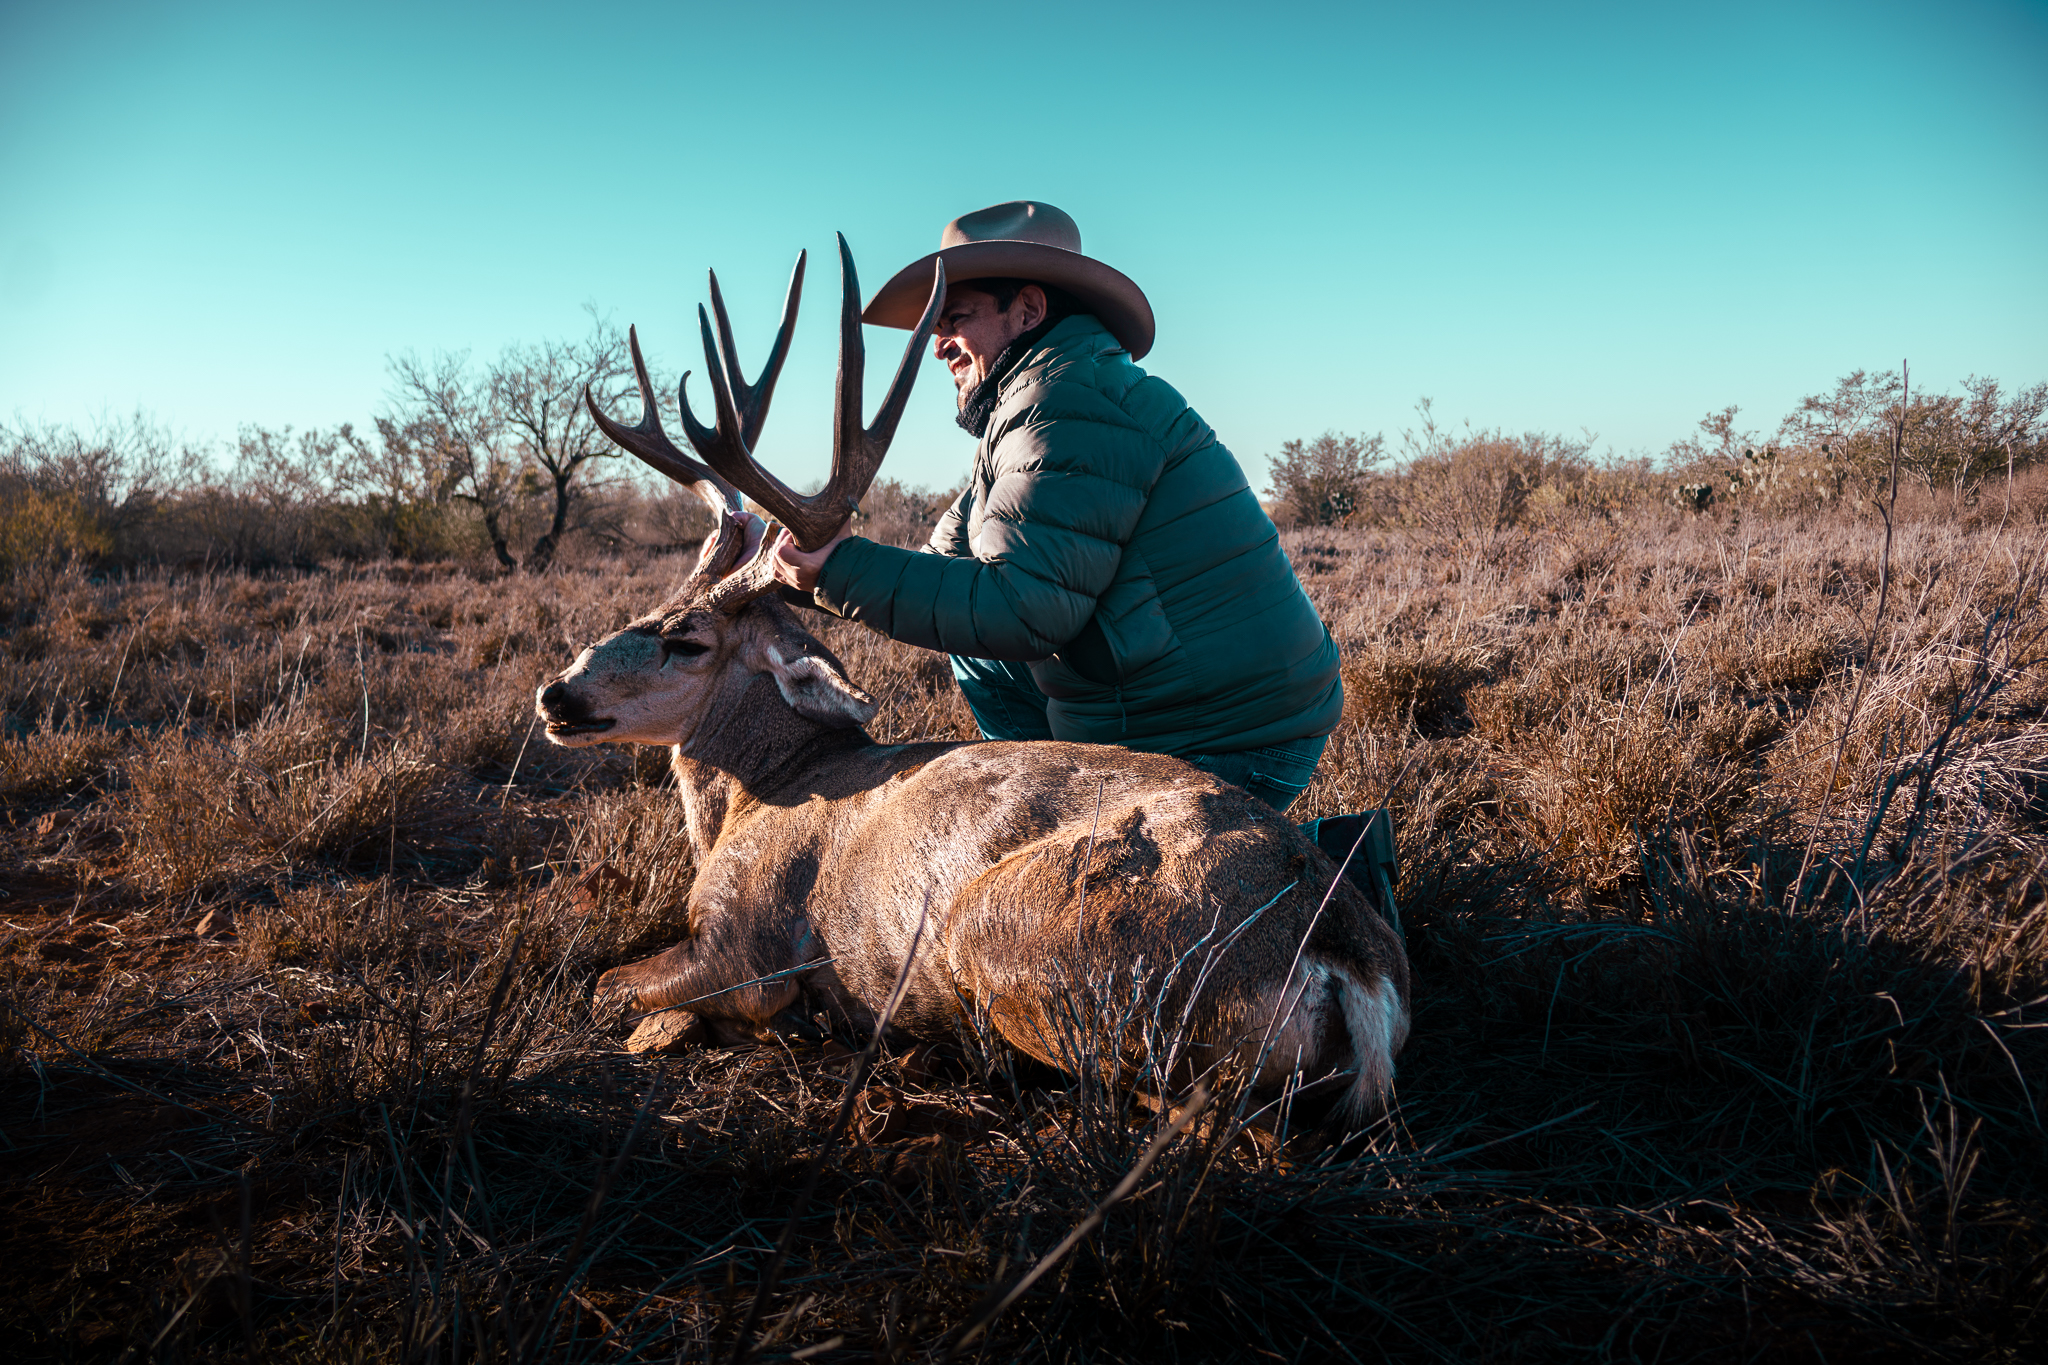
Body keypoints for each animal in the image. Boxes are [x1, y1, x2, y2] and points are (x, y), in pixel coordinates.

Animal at [536, 237, 1412, 1128]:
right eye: (646, 608)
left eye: (685, 641)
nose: (556, 696)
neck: (767, 787)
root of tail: (1347, 958)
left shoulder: (743, 942)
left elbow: (607, 985)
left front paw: (696, 1026)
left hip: (996, 930)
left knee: (1180, 1106)